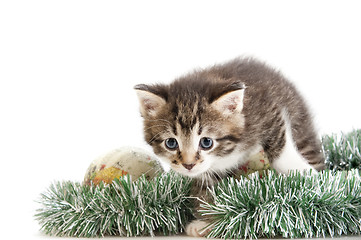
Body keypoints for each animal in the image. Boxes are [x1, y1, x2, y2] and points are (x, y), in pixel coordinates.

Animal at [134, 57, 324, 236]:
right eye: (171, 143)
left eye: (206, 142)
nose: (188, 165)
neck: (227, 152)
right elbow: (206, 186)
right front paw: (207, 221)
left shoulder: (268, 111)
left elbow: (281, 149)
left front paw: (304, 173)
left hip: (300, 124)